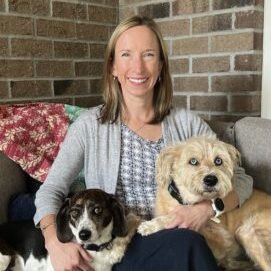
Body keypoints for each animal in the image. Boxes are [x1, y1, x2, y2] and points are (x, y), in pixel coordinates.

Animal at [139, 138, 271, 271]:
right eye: (193, 161)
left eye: (218, 160)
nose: (211, 180)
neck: (188, 201)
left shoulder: (223, 241)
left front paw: (150, 225)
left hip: (246, 231)